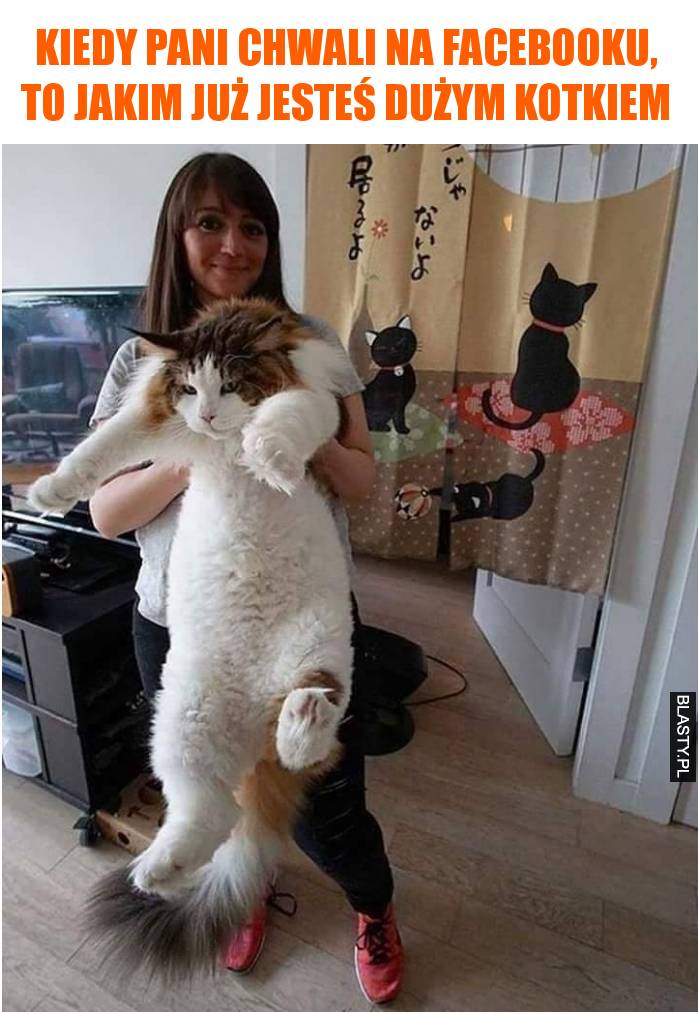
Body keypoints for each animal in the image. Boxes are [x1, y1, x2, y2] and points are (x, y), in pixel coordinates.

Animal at [482, 263, 597, 431]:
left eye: (571, 303)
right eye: (550, 294)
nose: (558, 305)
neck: (548, 329)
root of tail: (538, 408)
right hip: (575, 378)